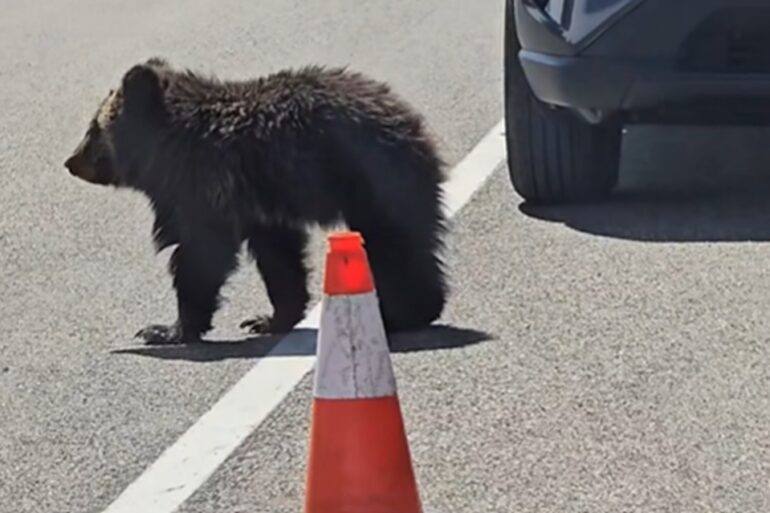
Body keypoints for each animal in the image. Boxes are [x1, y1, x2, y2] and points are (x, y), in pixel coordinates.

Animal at [64, 57, 449, 345]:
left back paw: (405, 311)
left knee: (393, 243)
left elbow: (201, 254)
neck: (166, 150)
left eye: (93, 128)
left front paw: (165, 329)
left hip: (372, 179)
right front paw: (268, 318)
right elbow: (278, 258)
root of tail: (412, 121)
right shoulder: (259, 206)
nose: (70, 161)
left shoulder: (207, 185)